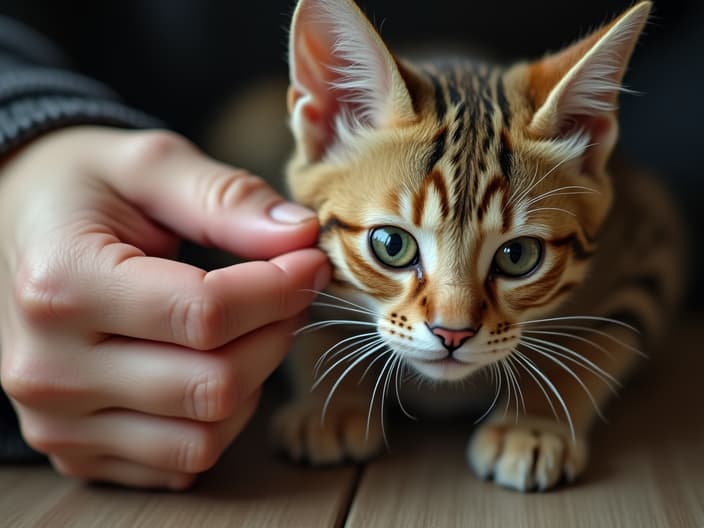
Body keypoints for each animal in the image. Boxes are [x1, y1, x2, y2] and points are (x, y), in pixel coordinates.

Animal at [268, 0, 680, 492]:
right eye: (392, 245)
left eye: (518, 256)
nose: (452, 333)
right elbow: (311, 323)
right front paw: (327, 405)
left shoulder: (649, 249)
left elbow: (595, 346)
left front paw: (533, 425)